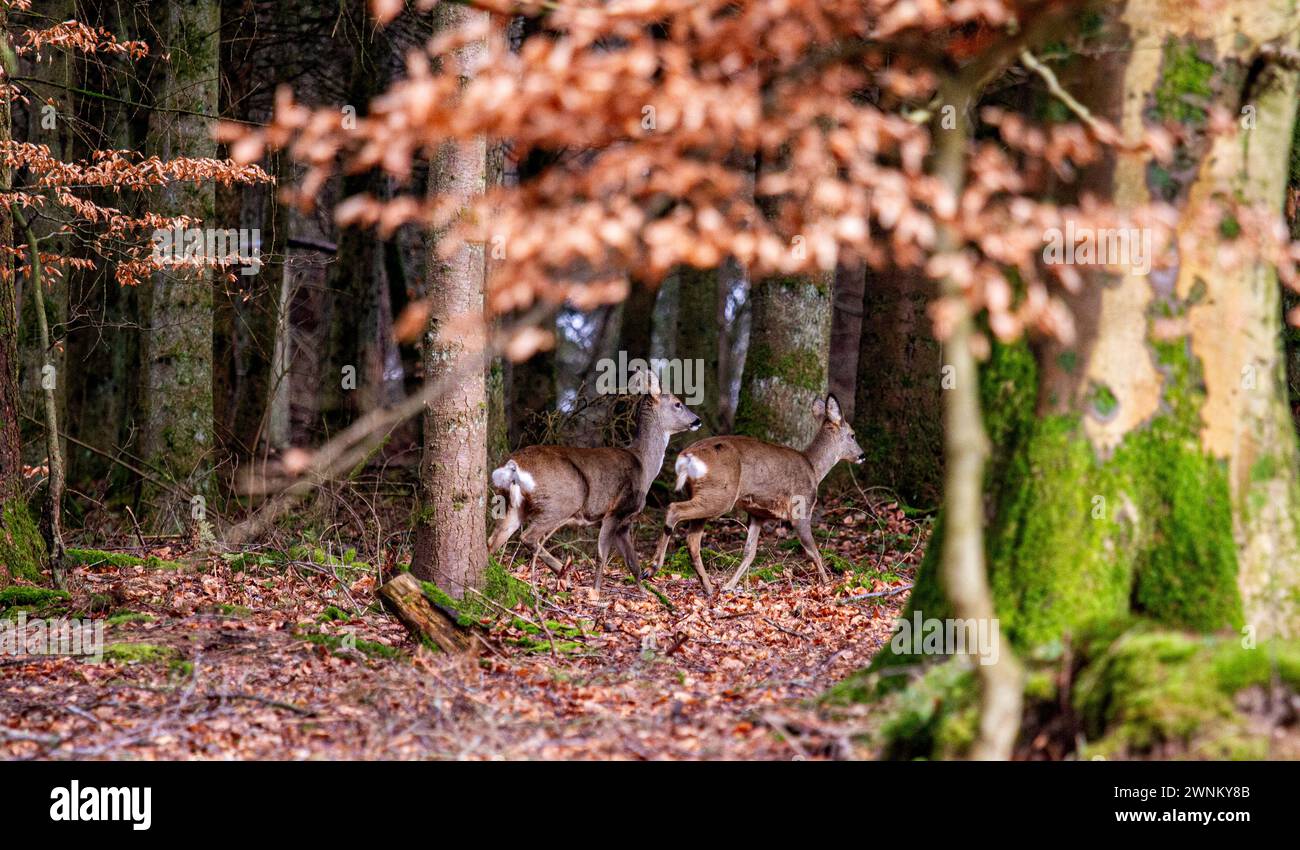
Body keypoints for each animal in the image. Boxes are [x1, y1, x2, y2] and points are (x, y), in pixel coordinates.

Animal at [486, 369, 702, 595]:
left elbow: (632, 561)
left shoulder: (625, 521)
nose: (697, 420)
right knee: (528, 536)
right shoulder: (616, 510)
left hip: (512, 504)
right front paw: (596, 592)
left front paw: (645, 592)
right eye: (678, 403)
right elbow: (602, 555)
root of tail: (513, 465)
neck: (644, 465)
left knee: (493, 541)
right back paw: (565, 574)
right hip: (562, 500)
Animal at [647, 395, 863, 595]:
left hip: (706, 494)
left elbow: (749, 552)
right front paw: (828, 585)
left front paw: (728, 585)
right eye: (852, 435)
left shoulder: (757, 514)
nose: (862, 455)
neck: (813, 469)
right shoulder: (801, 506)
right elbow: (813, 551)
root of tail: (687, 457)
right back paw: (652, 567)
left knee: (692, 540)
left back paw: (708, 588)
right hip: (720, 495)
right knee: (674, 509)